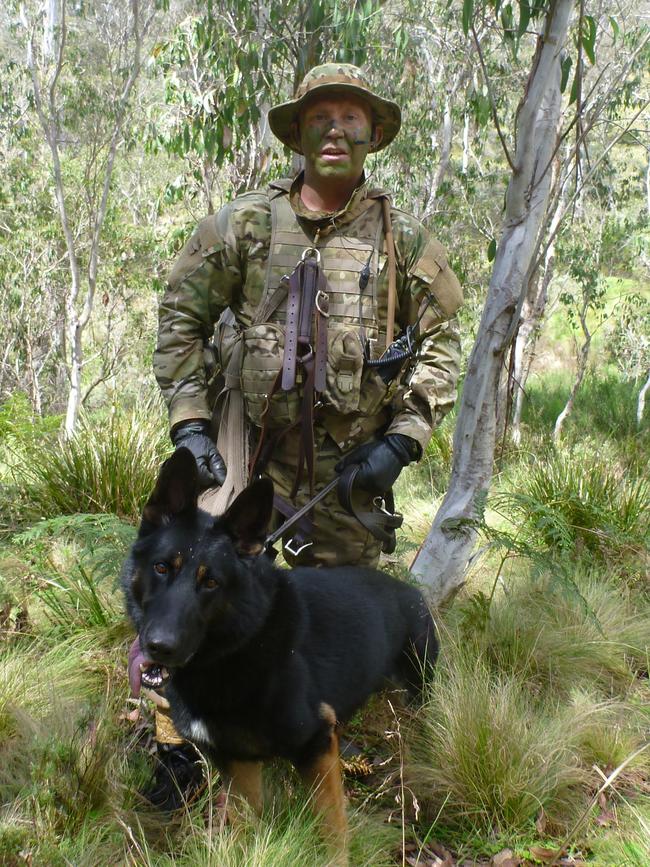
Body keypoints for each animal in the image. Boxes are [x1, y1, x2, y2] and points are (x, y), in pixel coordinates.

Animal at [121, 450, 436, 864]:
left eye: (211, 582)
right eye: (161, 567)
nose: (159, 646)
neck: (239, 646)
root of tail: (412, 591)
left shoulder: (314, 745)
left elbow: (330, 827)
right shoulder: (237, 760)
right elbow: (246, 819)